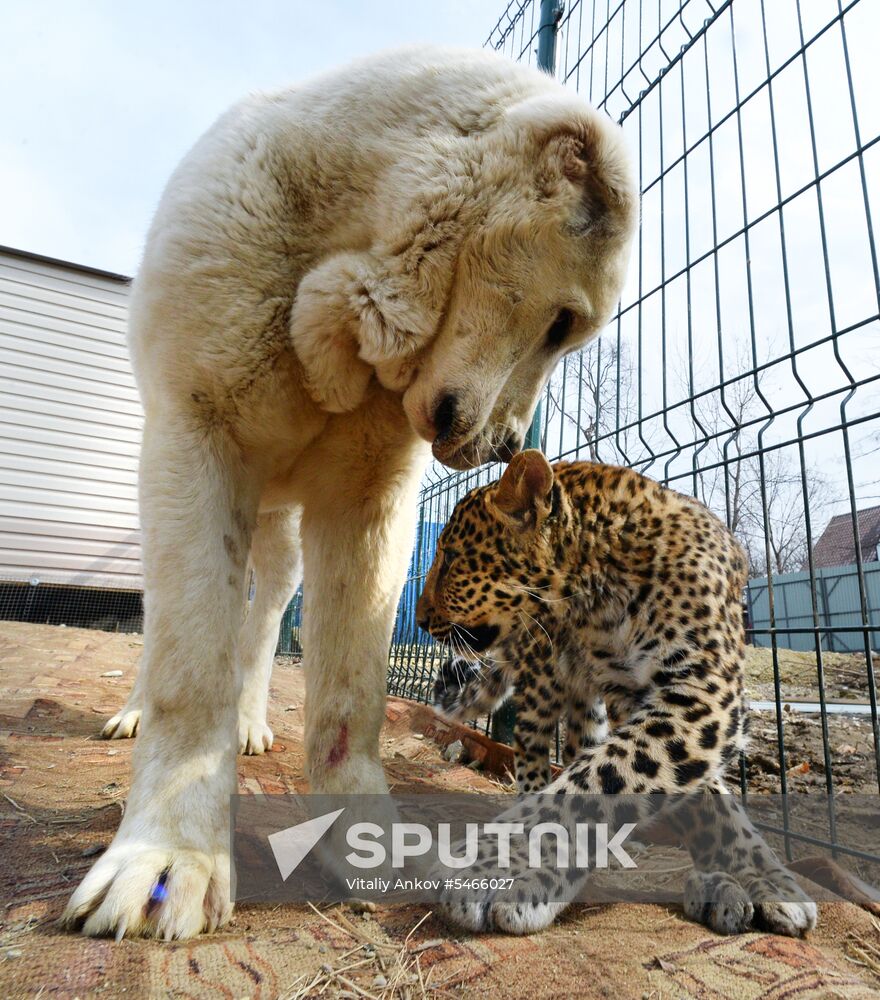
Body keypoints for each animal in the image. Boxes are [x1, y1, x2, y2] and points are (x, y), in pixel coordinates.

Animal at [63, 47, 640, 936]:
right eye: (562, 325)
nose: (511, 448)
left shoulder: (368, 504)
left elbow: (348, 699)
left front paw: (370, 844)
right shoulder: (192, 449)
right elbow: (188, 671)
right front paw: (169, 855)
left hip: (283, 545)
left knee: (263, 624)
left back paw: (252, 722)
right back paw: (140, 715)